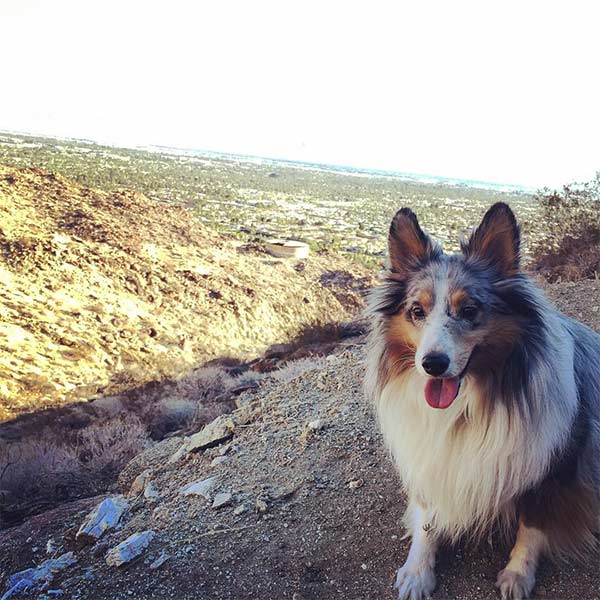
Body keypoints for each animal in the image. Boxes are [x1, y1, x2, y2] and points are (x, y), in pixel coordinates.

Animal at [364, 204, 600, 596]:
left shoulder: (554, 466)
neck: (466, 405)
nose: (433, 364)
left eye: (470, 310)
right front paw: (418, 570)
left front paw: (518, 575)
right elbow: (427, 517)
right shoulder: (430, 457)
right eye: (417, 311)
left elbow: (532, 527)